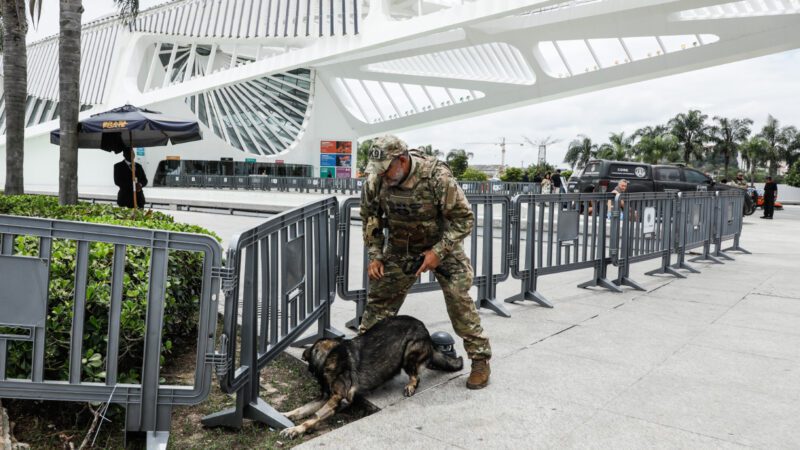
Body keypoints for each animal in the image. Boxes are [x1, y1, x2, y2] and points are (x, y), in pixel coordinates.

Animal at [282, 314, 462, 438]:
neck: (329, 356)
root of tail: (425, 330)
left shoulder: (336, 399)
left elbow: (314, 417)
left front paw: (296, 429)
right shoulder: (325, 396)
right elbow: (302, 410)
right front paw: (286, 415)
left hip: (409, 352)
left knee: (416, 376)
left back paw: (410, 385)